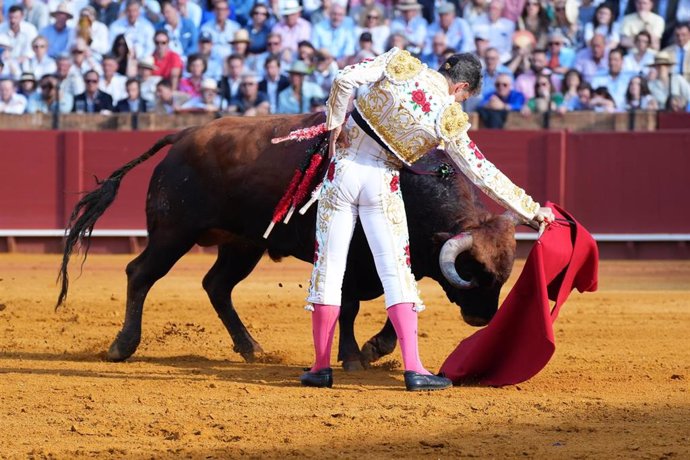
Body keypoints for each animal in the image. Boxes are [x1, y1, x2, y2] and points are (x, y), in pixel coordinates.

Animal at [56, 112, 520, 370]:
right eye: (471, 271)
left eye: (502, 276)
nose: (482, 319)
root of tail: (184, 135)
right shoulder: (351, 257)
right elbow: (348, 306)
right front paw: (352, 356)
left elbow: (401, 298)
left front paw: (375, 348)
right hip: (173, 233)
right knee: (140, 273)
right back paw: (122, 346)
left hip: (241, 244)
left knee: (216, 285)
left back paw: (251, 349)